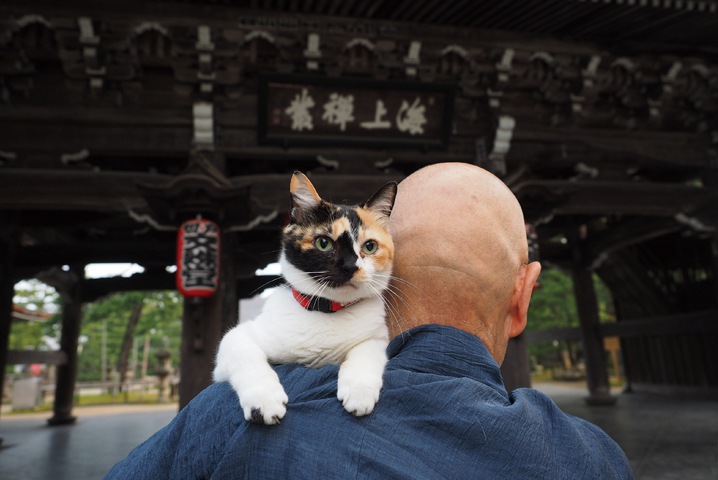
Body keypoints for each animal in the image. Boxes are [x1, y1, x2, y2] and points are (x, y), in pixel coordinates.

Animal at [214, 172, 400, 424]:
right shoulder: (237, 338)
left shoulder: (376, 337)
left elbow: (365, 353)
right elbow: (246, 357)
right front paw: (264, 402)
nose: (350, 266)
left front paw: (359, 393)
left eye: (370, 246)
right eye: (324, 242)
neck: (326, 311)